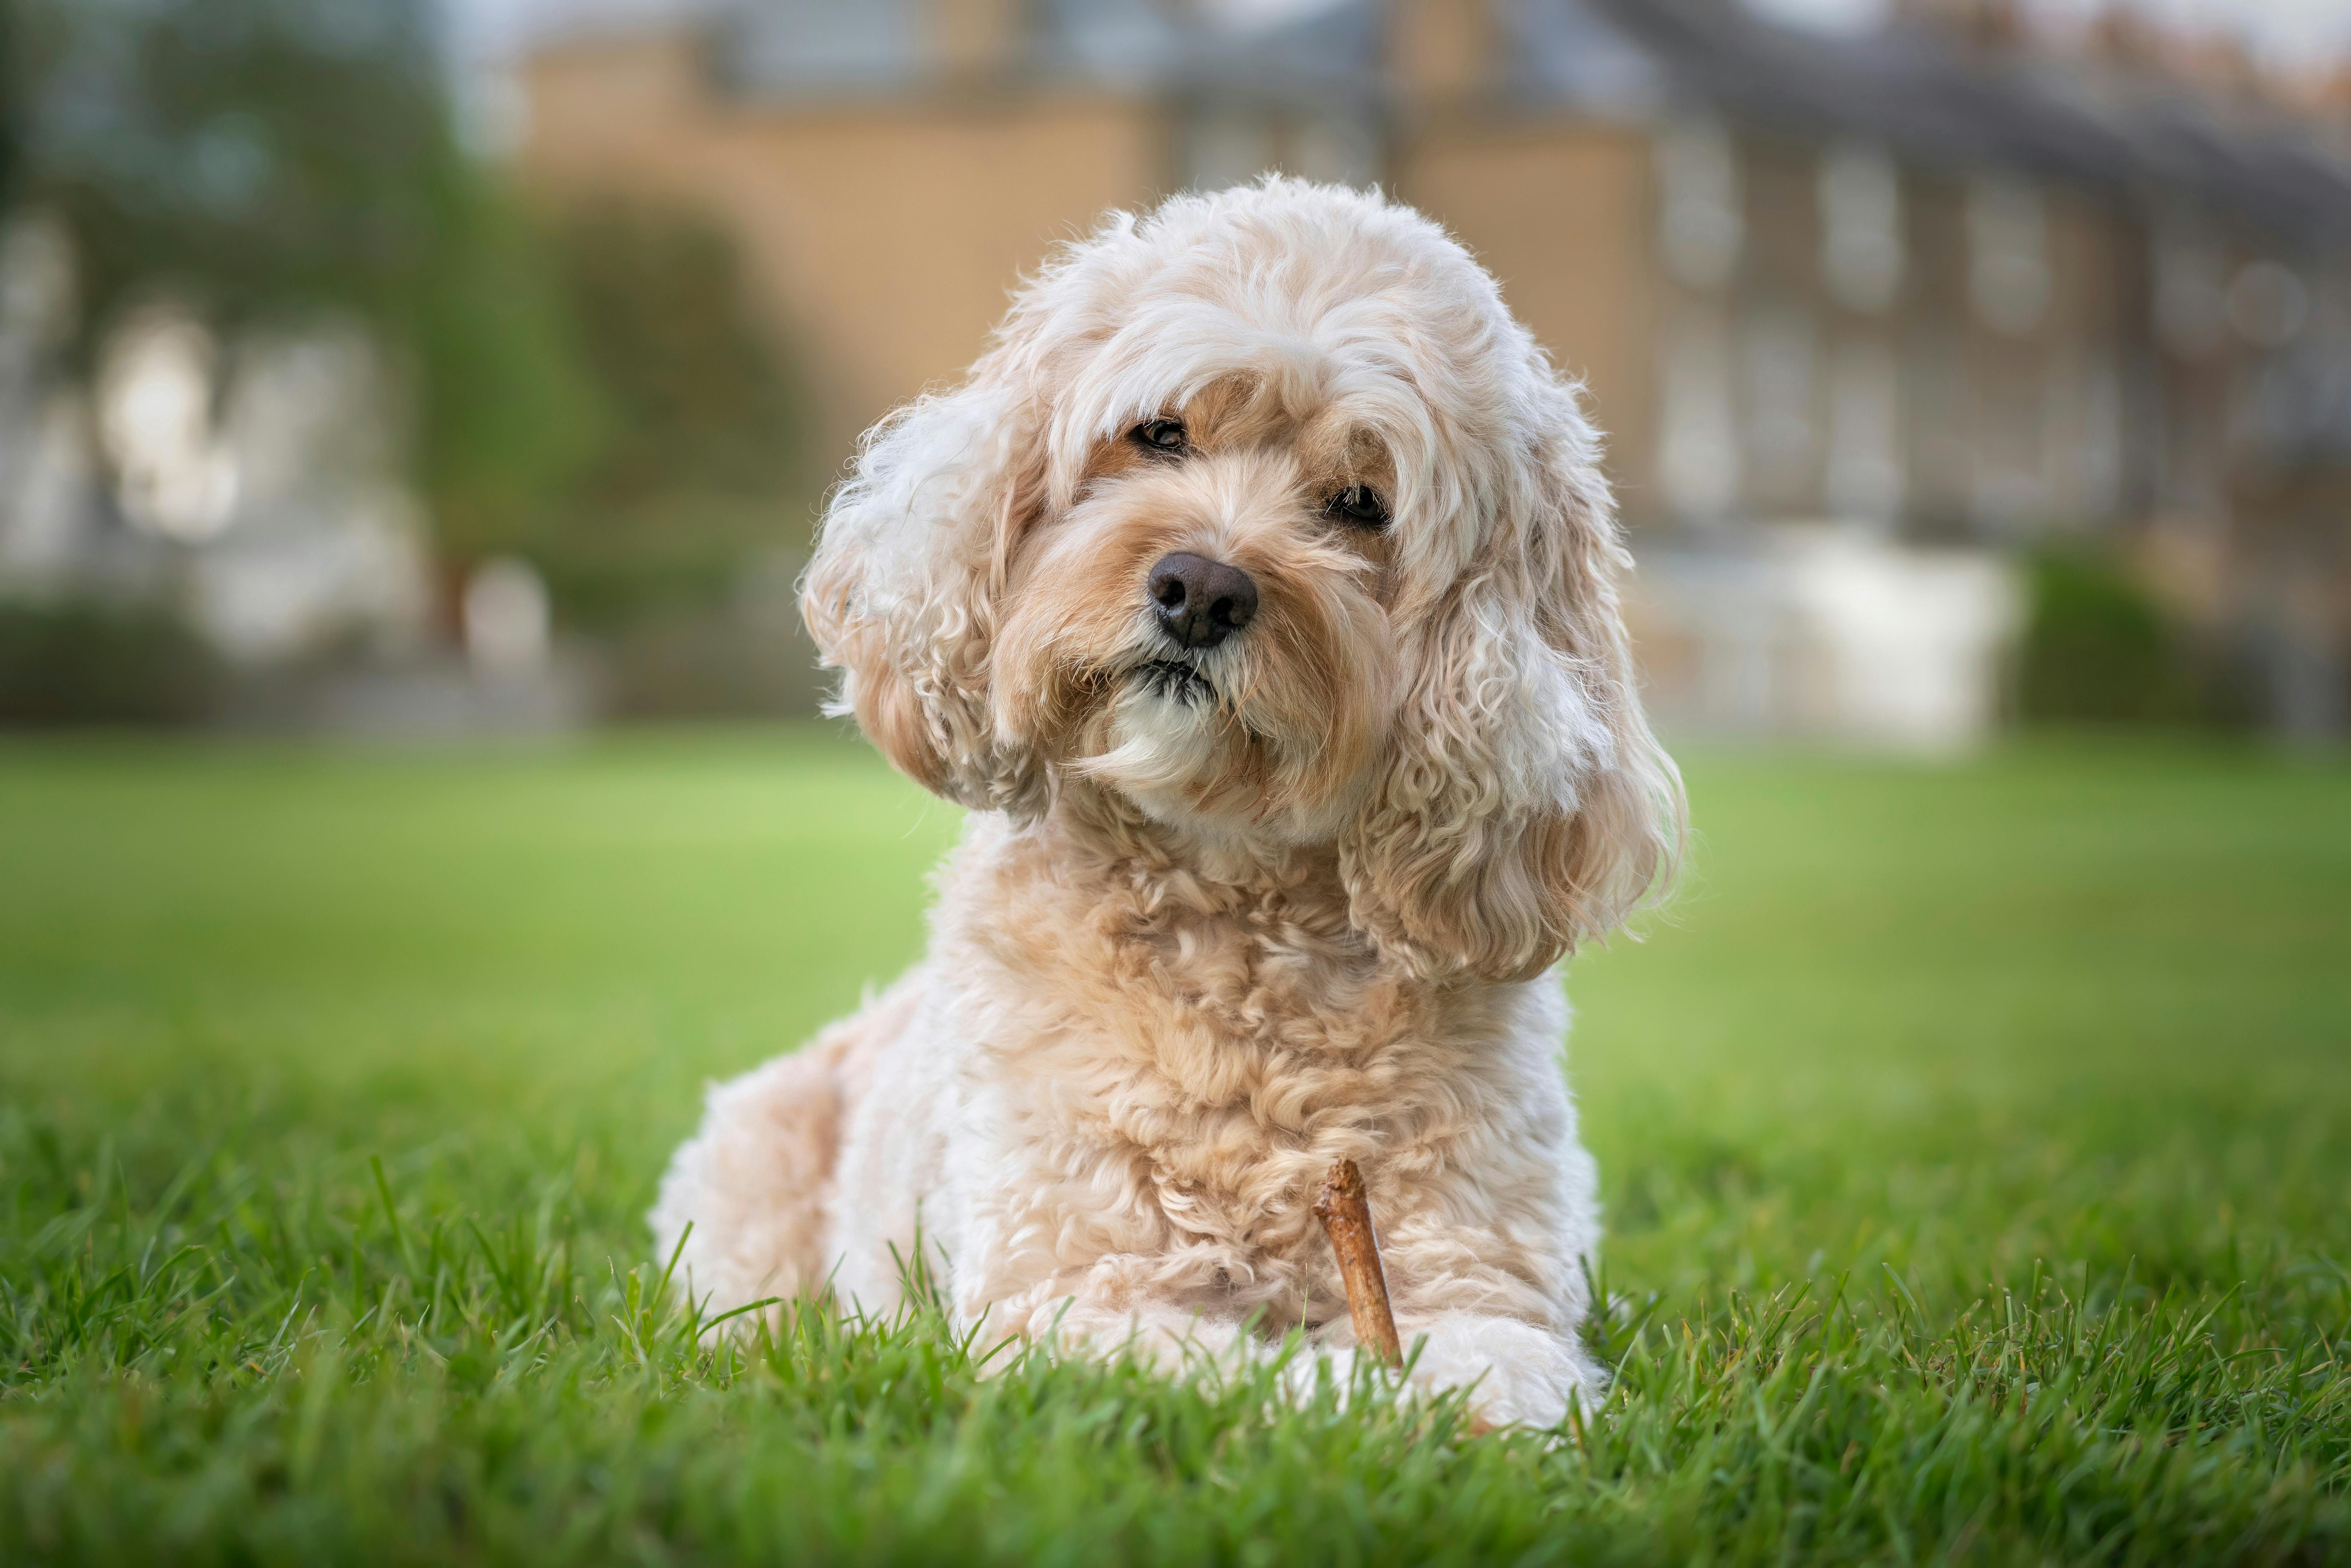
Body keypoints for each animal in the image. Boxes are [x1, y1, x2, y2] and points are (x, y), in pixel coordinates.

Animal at [658, 177, 1693, 1429]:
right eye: (1158, 433)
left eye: (1361, 503)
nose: (1201, 588)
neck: (1234, 920)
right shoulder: (1059, 1297)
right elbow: (1242, 1373)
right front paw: (1345, 1392)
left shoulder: (1488, 1281)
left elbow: (1486, 1366)